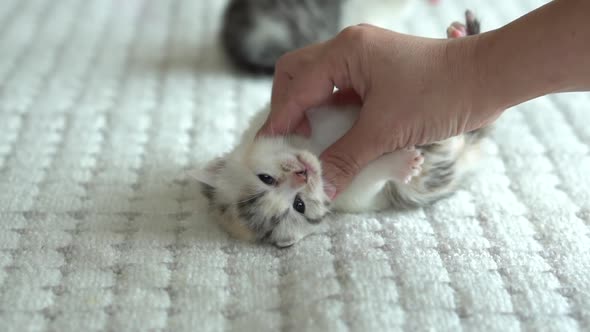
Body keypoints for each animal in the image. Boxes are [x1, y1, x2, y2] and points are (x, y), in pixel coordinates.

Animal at [194, 11, 486, 248]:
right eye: (298, 205)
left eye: (265, 178)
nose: (302, 174)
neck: (316, 151)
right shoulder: (354, 199)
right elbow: (372, 181)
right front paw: (403, 164)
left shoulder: (276, 116)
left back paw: (461, 33)